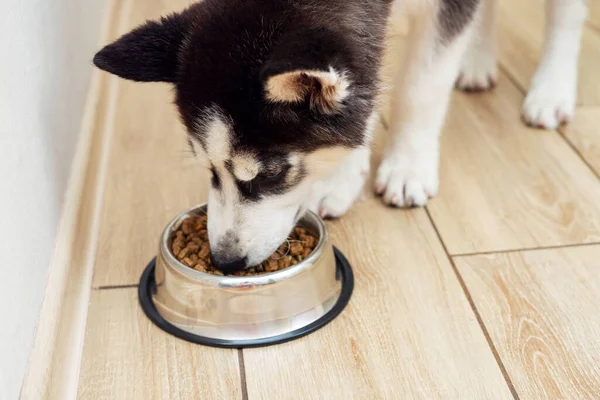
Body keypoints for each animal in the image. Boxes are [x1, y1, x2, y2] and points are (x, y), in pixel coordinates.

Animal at [94, 0, 584, 272]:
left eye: (271, 174)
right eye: (208, 170)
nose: (225, 261)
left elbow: (421, 89)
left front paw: (407, 165)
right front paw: (341, 178)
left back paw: (551, 88)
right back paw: (479, 59)